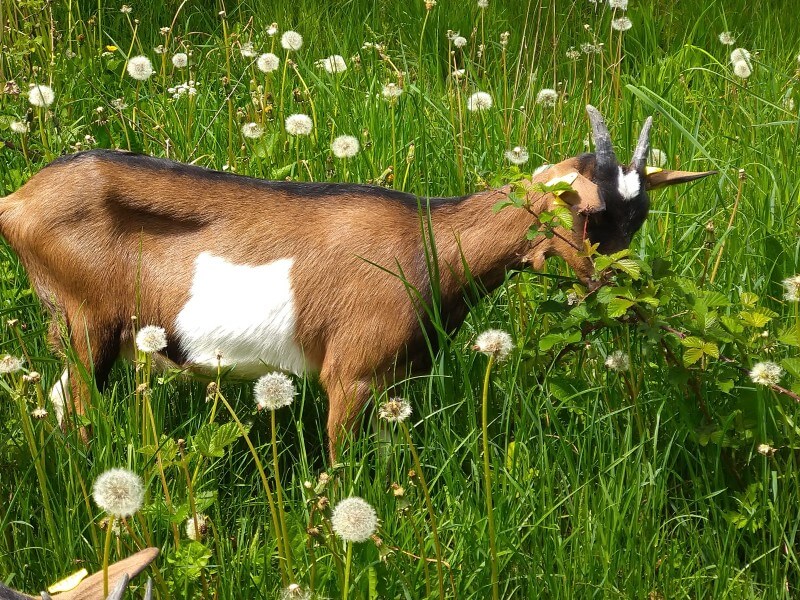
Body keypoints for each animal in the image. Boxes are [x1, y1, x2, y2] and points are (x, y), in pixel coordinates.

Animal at [0, 106, 712, 454]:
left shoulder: (395, 382)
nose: (620, 295)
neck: (427, 248)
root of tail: (17, 202)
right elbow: (344, 470)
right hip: (85, 324)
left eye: (640, 218)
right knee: (74, 406)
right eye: (586, 213)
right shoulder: (351, 375)